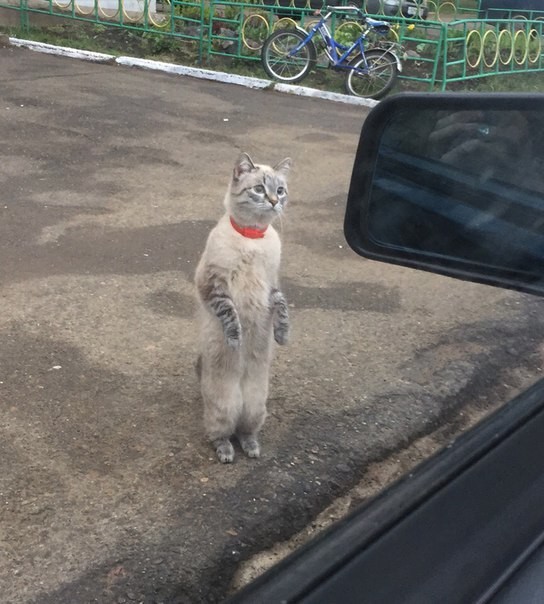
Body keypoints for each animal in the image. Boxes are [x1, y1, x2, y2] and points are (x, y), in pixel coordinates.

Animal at [193, 152, 292, 462]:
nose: (273, 201)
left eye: (280, 190)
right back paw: (226, 452)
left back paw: (252, 448)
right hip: (225, 406)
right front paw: (236, 339)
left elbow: (283, 306)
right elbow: (230, 313)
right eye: (259, 189)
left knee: (245, 431)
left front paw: (282, 335)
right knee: (221, 434)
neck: (252, 238)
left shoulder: (271, 285)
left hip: (255, 407)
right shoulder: (213, 285)